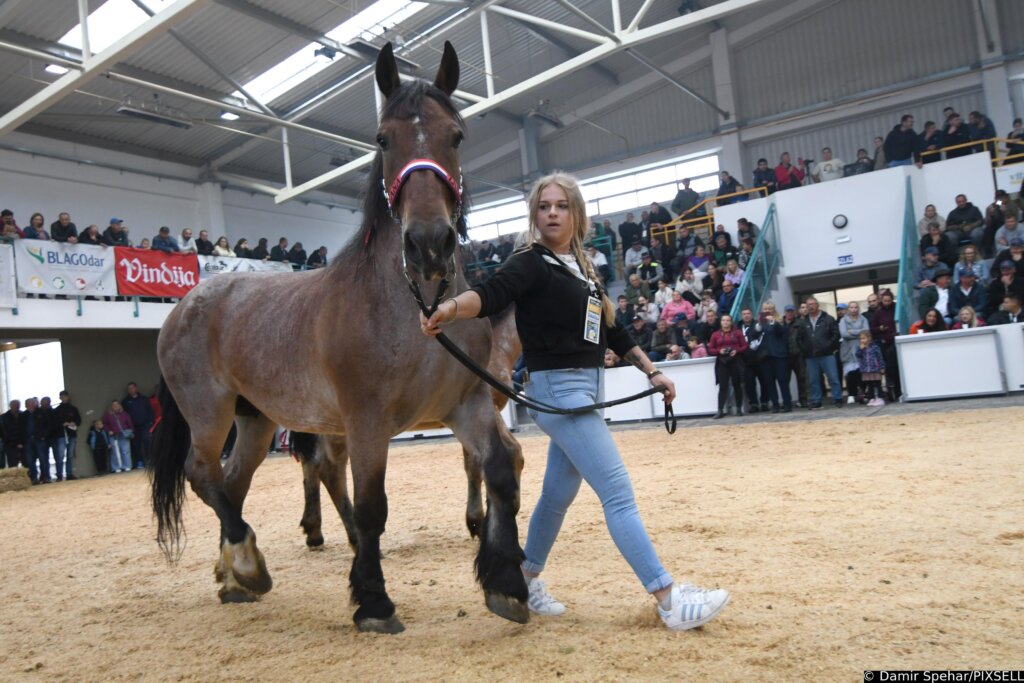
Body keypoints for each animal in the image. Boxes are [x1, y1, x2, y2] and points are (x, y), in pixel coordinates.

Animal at [153, 40, 536, 634]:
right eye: (382, 138)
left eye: (456, 135)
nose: (429, 243)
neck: (416, 309)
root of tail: (185, 304)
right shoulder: (367, 422)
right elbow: (374, 505)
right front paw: (373, 601)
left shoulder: (466, 404)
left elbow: (498, 468)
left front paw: (506, 584)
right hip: (210, 414)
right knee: (203, 472)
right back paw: (249, 563)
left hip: (256, 419)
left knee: (232, 483)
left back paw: (235, 576)